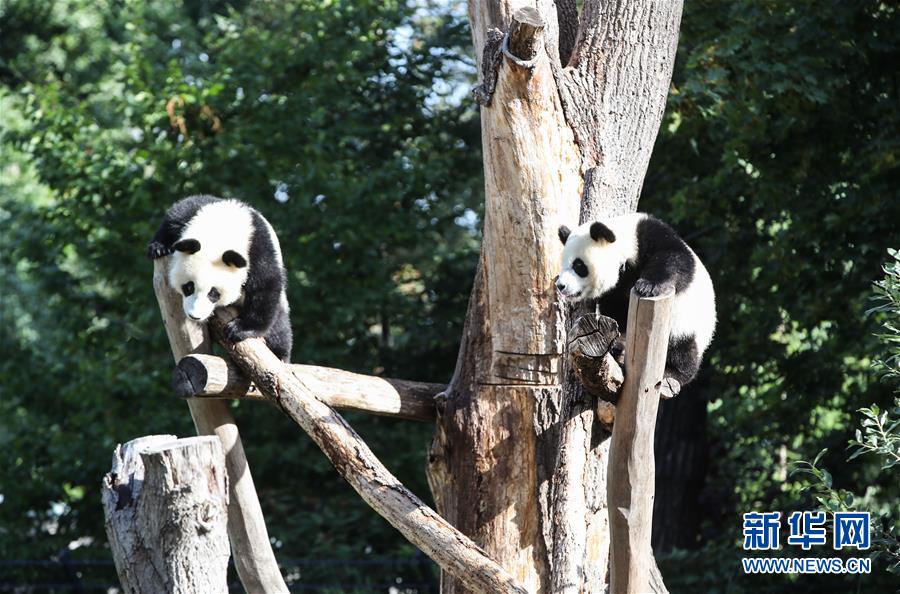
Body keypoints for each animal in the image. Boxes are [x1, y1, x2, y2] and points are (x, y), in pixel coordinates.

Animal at [146, 195, 290, 360]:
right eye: (189, 286)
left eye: (213, 293)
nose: (195, 316)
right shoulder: (193, 212)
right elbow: (174, 217)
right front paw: (158, 248)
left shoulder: (258, 248)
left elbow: (265, 285)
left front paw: (239, 329)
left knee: (280, 329)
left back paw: (281, 353)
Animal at [556, 215, 716, 386]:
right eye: (563, 265)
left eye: (578, 265)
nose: (561, 285)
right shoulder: (616, 289)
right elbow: (615, 312)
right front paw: (615, 341)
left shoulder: (650, 235)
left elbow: (673, 257)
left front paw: (647, 286)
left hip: (685, 325)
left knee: (682, 350)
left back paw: (673, 371)